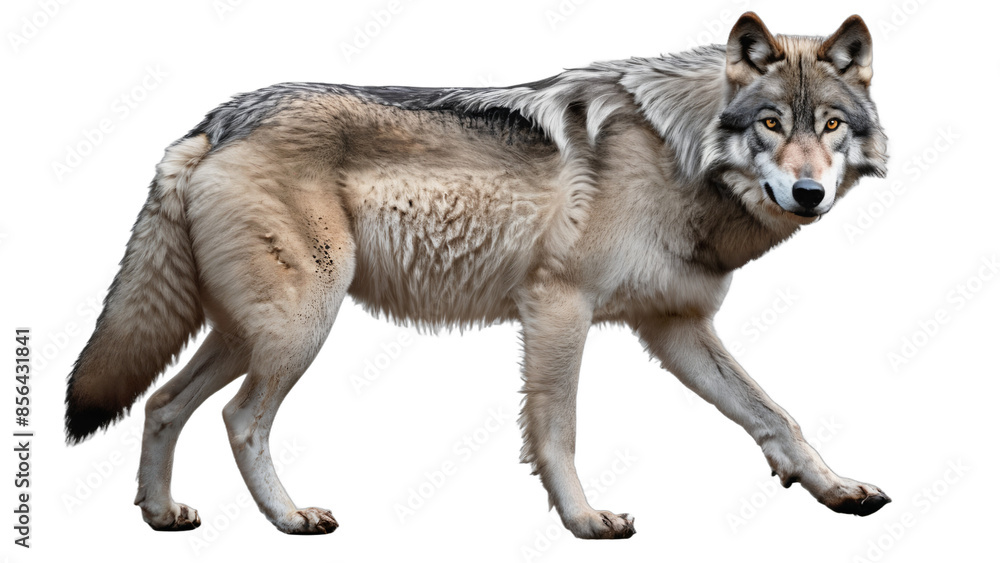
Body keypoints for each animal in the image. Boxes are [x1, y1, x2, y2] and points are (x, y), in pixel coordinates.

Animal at [65, 12, 890, 538]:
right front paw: (585, 520)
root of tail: (215, 121)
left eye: (831, 125)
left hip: (249, 332)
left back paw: (161, 513)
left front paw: (836, 489)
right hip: (298, 327)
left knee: (163, 404)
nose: (808, 193)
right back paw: (291, 518)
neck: (675, 153)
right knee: (239, 419)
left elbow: (774, 416)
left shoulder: (675, 326)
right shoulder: (558, 306)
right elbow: (558, 428)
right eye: (772, 123)